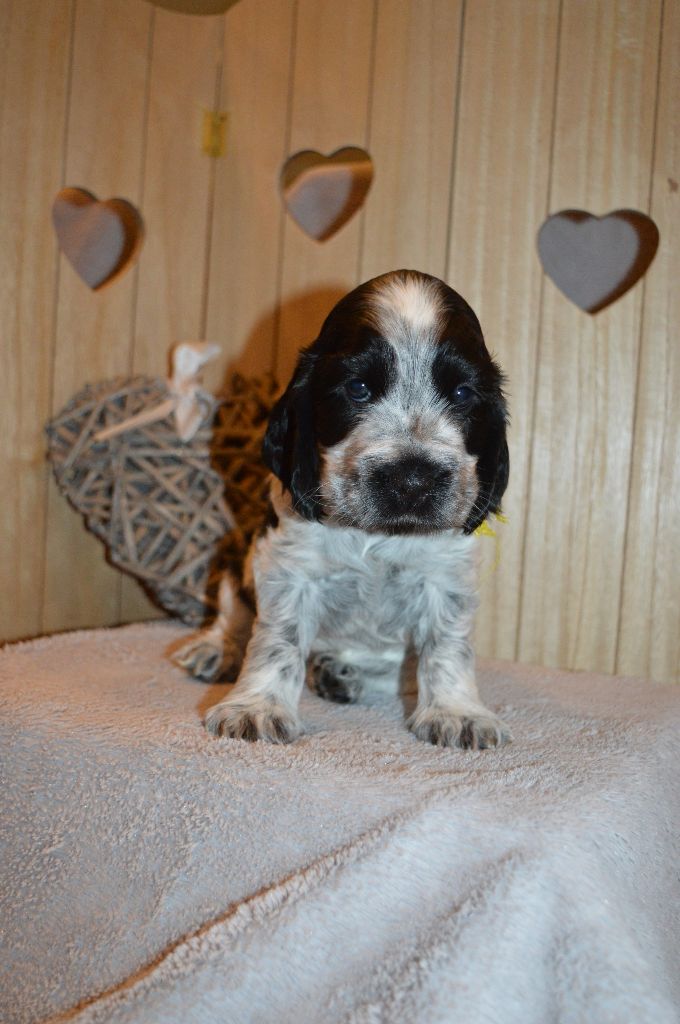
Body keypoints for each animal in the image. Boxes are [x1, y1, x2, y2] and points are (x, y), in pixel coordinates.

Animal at [175, 269, 511, 750]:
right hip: (236, 554)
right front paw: (258, 708)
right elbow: (277, 639)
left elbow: (448, 645)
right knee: (232, 607)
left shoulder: (446, 577)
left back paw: (336, 671)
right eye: (359, 388)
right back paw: (216, 648)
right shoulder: (289, 564)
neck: (380, 536)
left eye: (463, 393)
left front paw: (457, 712)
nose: (413, 480)